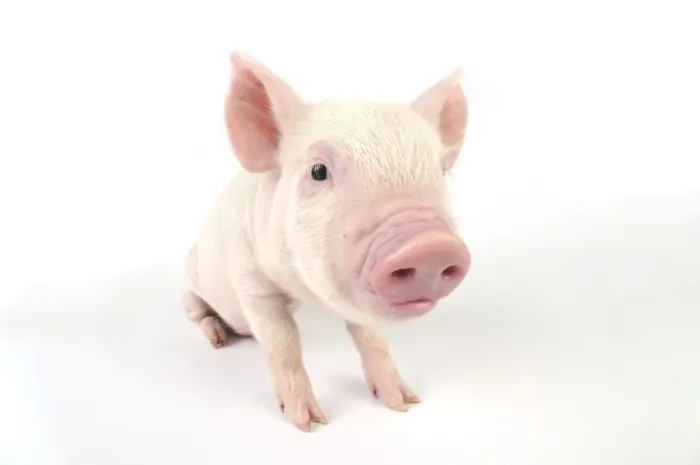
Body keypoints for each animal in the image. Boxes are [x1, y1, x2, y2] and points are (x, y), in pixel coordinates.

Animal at [183, 51, 471, 432]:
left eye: (440, 171)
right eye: (318, 171)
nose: (429, 246)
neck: (307, 294)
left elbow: (373, 339)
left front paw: (405, 403)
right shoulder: (250, 280)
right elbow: (283, 344)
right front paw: (312, 424)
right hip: (189, 279)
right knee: (197, 312)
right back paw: (218, 338)